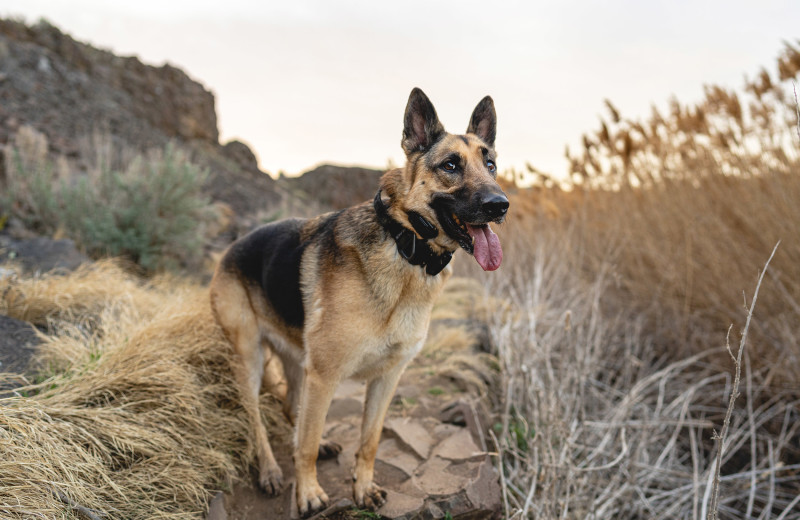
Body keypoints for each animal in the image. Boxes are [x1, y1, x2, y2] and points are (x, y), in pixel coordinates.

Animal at [209, 87, 510, 512]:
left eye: (491, 164)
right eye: (450, 165)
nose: (500, 205)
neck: (406, 246)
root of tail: (230, 249)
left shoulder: (387, 377)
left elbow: (369, 440)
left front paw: (362, 488)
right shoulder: (325, 376)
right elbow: (304, 449)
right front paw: (309, 493)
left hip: (297, 360)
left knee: (290, 406)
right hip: (249, 356)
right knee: (256, 417)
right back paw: (269, 470)